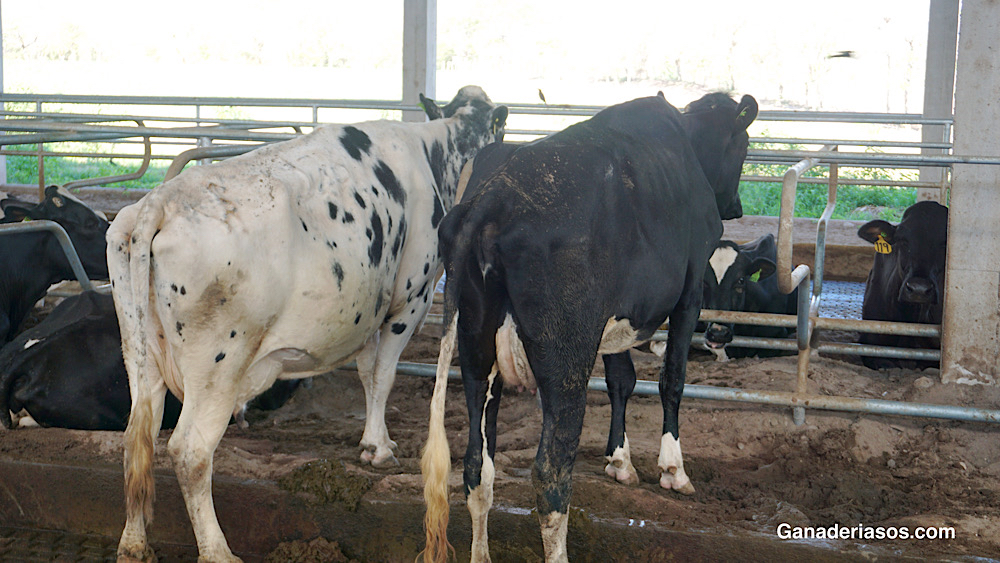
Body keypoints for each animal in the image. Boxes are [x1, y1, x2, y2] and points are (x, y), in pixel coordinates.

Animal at [109, 86, 508, 560]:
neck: (436, 151)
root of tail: (160, 200)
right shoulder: (410, 297)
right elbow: (383, 374)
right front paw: (378, 448)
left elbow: (366, 371)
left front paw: (372, 440)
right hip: (218, 365)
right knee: (189, 451)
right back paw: (217, 550)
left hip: (140, 352)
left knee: (139, 435)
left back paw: (133, 544)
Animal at [420, 90, 756, 560]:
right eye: (742, 145)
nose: (737, 207)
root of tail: (490, 201)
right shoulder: (690, 288)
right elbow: (672, 377)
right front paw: (673, 469)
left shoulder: (617, 318)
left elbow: (621, 380)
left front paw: (620, 461)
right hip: (566, 362)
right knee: (551, 475)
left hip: (475, 352)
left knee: (475, 466)